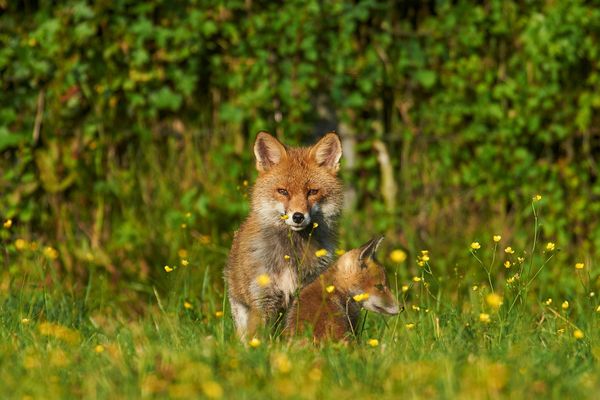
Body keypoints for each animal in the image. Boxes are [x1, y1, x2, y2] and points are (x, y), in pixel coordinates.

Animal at [225, 131, 344, 338]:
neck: (291, 252)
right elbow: (258, 340)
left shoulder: (305, 294)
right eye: (283, 191)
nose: (298, 217)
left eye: (312, 191)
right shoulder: (263, 299)